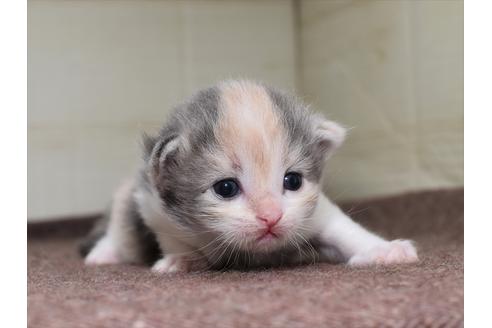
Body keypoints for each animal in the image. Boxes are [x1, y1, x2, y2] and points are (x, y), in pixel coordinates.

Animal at [80, 79, 418, 272]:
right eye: (226, 188)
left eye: (293, 181)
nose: (271, 217)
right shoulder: (153, 205)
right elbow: (173, 239)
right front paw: (183, 260)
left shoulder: (314, 211)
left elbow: (344, 229)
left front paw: (384, 250)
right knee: (120, 230)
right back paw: (104, 253)